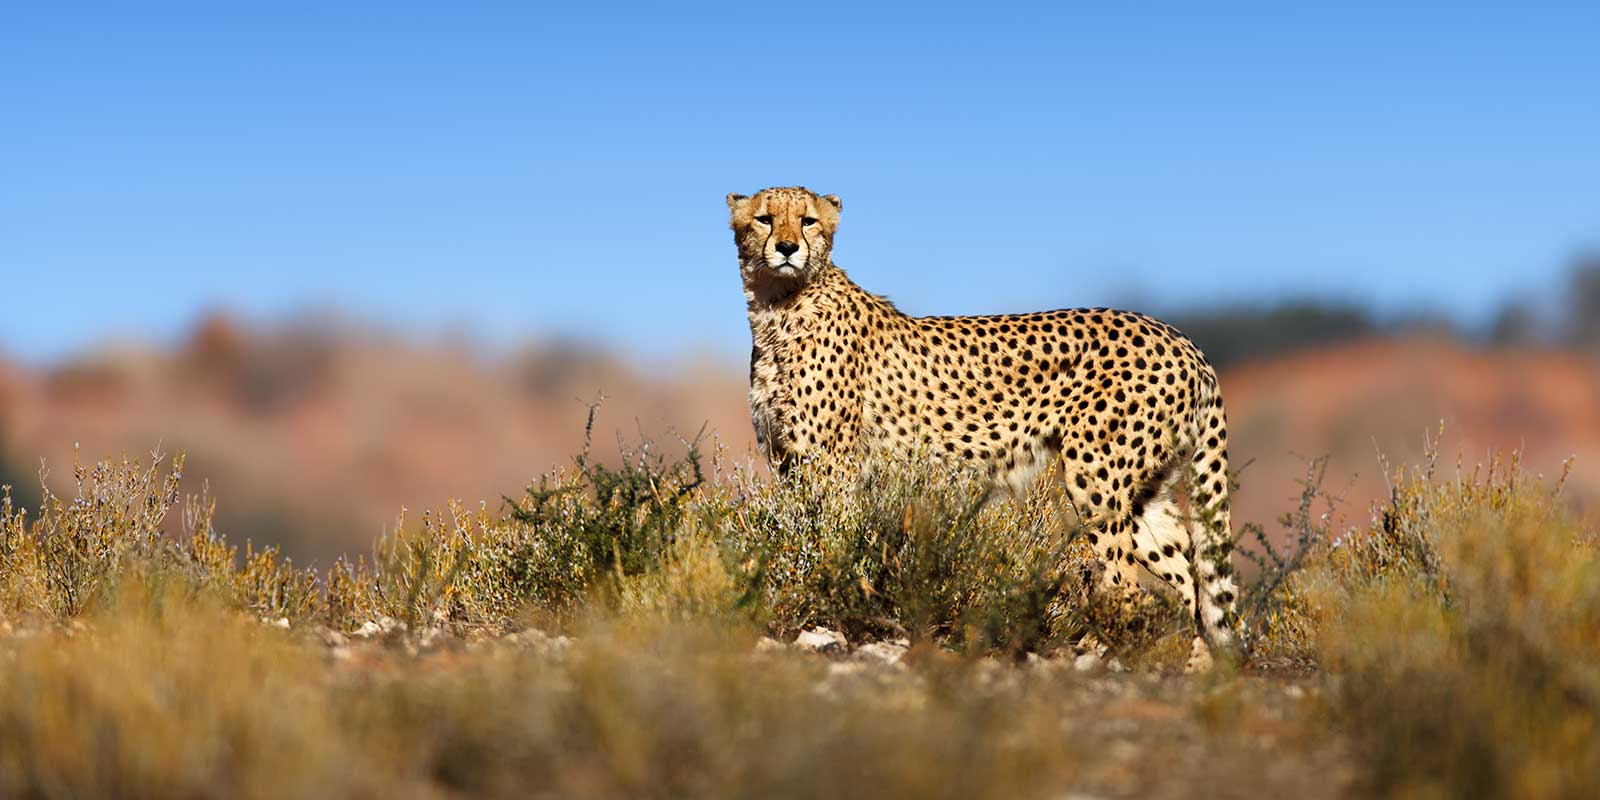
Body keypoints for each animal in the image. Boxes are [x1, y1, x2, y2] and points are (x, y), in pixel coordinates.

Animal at [726, 185, 1241, 670]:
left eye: (808, 220)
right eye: (765, 219)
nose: (788, 247)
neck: (779, 306)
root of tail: (1180, 339)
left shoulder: (831, 466)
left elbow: (828, 540)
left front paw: (825, 595)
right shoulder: (789, 463)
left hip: (1097, 475)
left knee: (1125, 580)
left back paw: (1100, 651)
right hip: (1144, 492)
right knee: (1189, 576)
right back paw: (1196, 668)